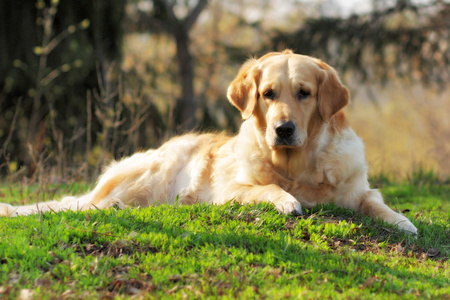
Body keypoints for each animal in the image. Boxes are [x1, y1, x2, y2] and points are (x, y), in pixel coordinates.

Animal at [0, 50, 418, 234]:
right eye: (268, 94)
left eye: (304, 93)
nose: (283, 129)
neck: (296, 166)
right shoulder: (230, 190)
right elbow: (265, 188)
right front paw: (286, 200)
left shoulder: (357, 188)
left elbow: (374, 202)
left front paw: (401, 221)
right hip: (151, 173)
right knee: (91, 205)